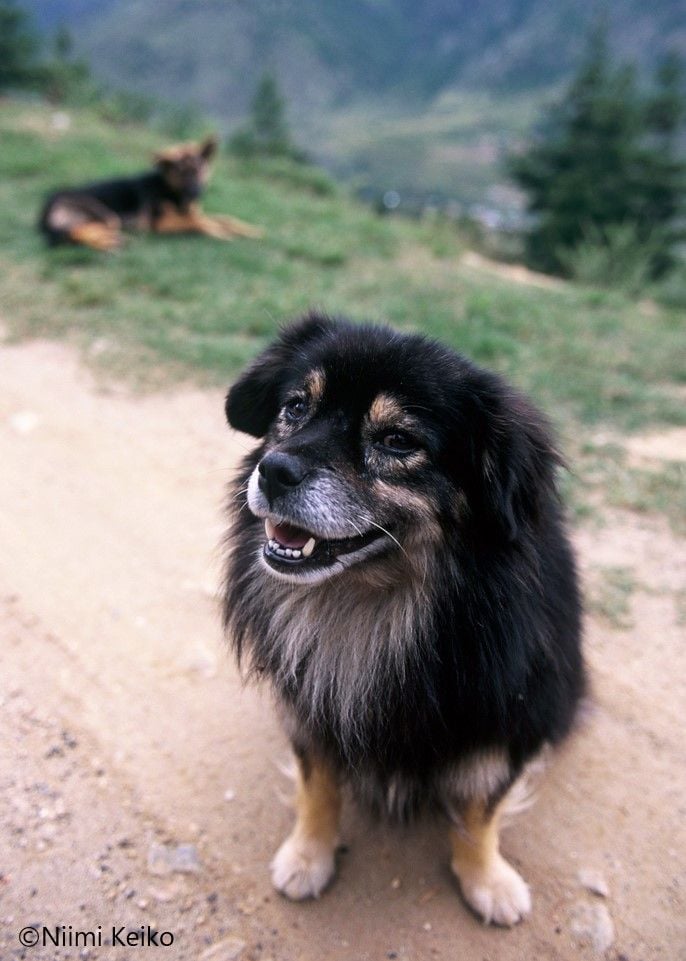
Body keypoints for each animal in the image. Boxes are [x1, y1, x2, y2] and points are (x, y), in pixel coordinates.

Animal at [39, 135, 262, 251]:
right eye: (182, 173)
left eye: (199, 170)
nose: (195, 194)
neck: (171, 191)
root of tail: (44, 209)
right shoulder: (162, 223)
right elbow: (199, 223)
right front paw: (220, 233)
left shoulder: (193, 212)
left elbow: (225, 219)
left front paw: (250, 231)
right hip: (104, 213)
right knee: (75, 232)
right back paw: (109, 242)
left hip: (104, 219)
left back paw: (115, 241)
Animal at [223, 313, 585, 926]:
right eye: (295, 407)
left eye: (397, 441)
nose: (273, 470)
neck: (380, 604)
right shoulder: (311, 703)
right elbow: (318, 785)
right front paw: (308, 856)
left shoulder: (505, 717)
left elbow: (481, 809)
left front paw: (487, 880)